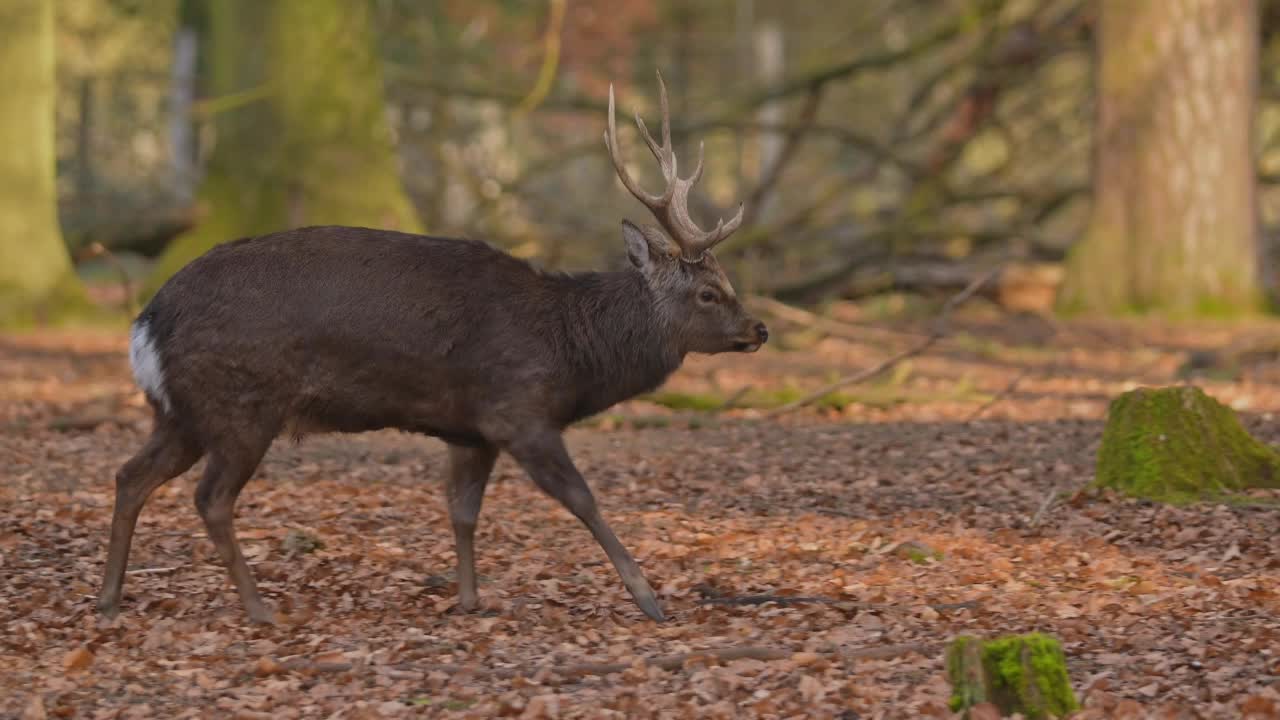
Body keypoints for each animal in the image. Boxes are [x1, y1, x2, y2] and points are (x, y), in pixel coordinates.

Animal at [99, 73, 762, 622]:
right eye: (708, 292)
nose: (760, 329)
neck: (571, 349)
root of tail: (145, 322)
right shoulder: (518, 410)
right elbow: (582, 500)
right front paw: (649, 598)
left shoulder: (470, 430)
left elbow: (462, 511)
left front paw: (468, 599)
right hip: (240, 404)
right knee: (209, 498)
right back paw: (258, 608)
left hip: (181, 413)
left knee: (130, 475)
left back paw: (109, 599)